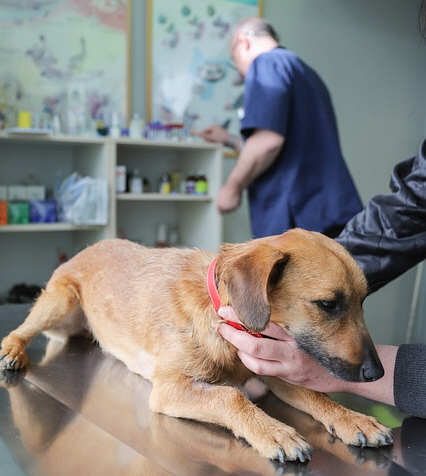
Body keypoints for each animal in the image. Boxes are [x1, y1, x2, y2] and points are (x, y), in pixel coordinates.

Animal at [0, 229, 392, 462]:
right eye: (328, 304)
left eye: (362, 302)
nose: (378, 373)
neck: (222, 317)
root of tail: (89, 247)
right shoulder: (170, 389)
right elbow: (231, 397)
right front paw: (274, 431)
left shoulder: (272, 367)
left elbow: (317, 396)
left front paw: (353, 419)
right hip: (60, 301)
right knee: (19, 331)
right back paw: (13, 351)